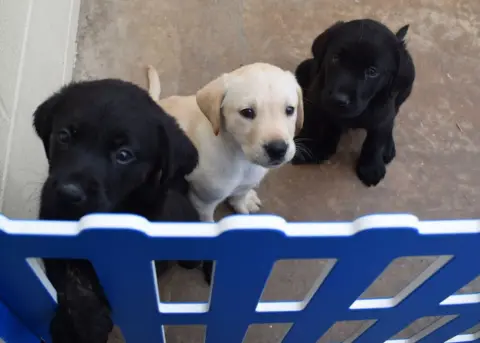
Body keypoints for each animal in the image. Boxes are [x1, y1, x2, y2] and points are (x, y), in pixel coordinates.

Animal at [33, 78, 202, 343]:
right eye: (64, 136)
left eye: (124, 155)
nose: (69, 194)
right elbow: (62, 277)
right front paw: (76, 322)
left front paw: (89, 323)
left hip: (189, 257)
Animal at [146, 62, 304, 222]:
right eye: (247, 112)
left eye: (290, 110)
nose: (278, 149)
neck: (242, 160)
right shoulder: (203, 202)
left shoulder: (244, 186)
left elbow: (240, 200)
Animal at [290, 20, 414, 187]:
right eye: (336, 58)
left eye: (372, 71)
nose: (339, 99)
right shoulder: (315, 102)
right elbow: (311, 126)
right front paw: (306, 149)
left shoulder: (383, 115)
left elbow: (375, 142)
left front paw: (371, 167)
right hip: (303, 70)